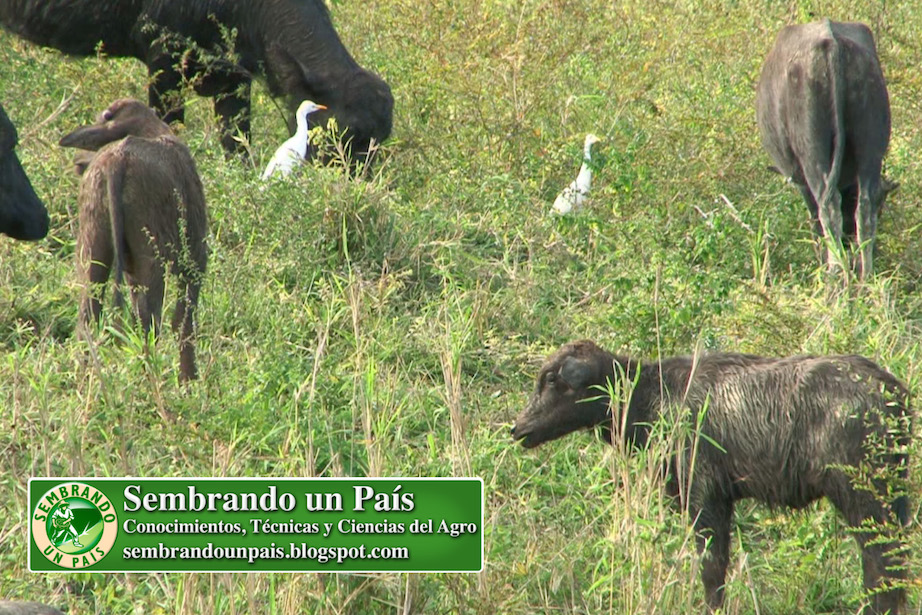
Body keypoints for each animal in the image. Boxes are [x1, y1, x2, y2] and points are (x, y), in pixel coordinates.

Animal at [0, 0, 392, 166]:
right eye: (345, 135)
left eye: (379, 139)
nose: (357, 185)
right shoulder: (163, 64)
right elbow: (166, 126)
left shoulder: (235, 79)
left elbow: (237, 144)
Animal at [59, 99, 207, 382]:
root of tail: (116, 161)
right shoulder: (194, 258)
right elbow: (184, 320)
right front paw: (188, 380)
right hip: (153, 258)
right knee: (150, 320)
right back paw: (150, 380)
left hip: (93, 245)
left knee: (88, 316)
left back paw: (87, 380)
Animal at [512, 342, 908, 615]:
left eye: (551, 379)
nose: (518, 429)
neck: (655, 396)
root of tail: (893, 396)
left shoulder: (706, 496)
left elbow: (711, 568)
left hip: (864, 498)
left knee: (880, 564)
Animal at [756, 19, 892, 280]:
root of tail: (832, 44)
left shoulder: (800, 181)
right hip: (870, 149)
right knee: (865, 208)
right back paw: (865, 275)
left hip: (811, 154)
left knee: (827, 208)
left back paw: (834, 273)